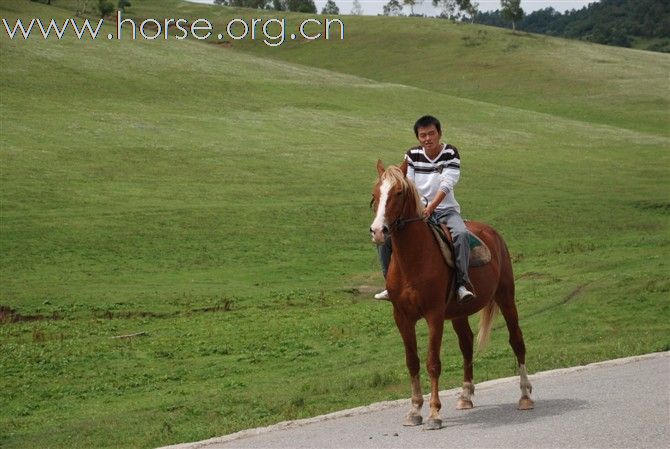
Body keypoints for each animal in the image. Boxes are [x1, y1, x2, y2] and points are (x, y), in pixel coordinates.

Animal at [368, 159, 536, 428]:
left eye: (399, 192)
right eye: (375, 193)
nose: (378, 231)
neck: (413, 259)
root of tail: (492, 233)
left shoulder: (434, 315)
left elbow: (433, 363)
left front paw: (434, 413)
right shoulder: (402, 318)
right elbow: (412, 362)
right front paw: (414, 410)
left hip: (506, 297)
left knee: (517, 341)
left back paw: (525, 396)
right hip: (458, 313)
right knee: (466, 344)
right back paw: (466, 396)